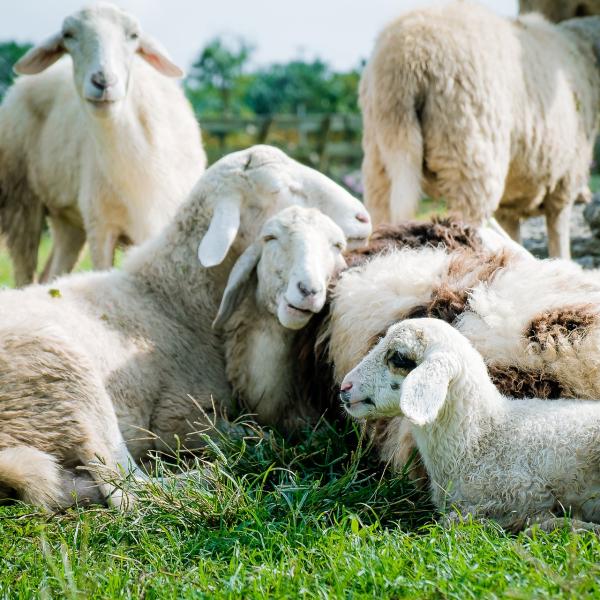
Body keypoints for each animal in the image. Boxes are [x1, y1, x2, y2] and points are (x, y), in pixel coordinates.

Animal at [0, 3, 206, 286]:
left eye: (134, 36)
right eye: (68, 35)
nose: (103, 81)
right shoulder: (101, 227)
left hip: (68, 219)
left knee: (52, 273)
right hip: (21, 201)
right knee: (25, 273)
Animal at [0, 144, 370, 506]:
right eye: (280, 188)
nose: (364, 217)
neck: (170, 296)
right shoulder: (175, 414)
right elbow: (260, 437)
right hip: (64, 374)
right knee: (129, 490)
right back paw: (211, 478)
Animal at [358, 2, 600, 260]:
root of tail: (405, 61)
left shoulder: (513, 202)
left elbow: (515, 231)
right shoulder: (566, 176)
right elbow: (558, 233)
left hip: (382, 151)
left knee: (382, 210)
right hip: (468, 150)